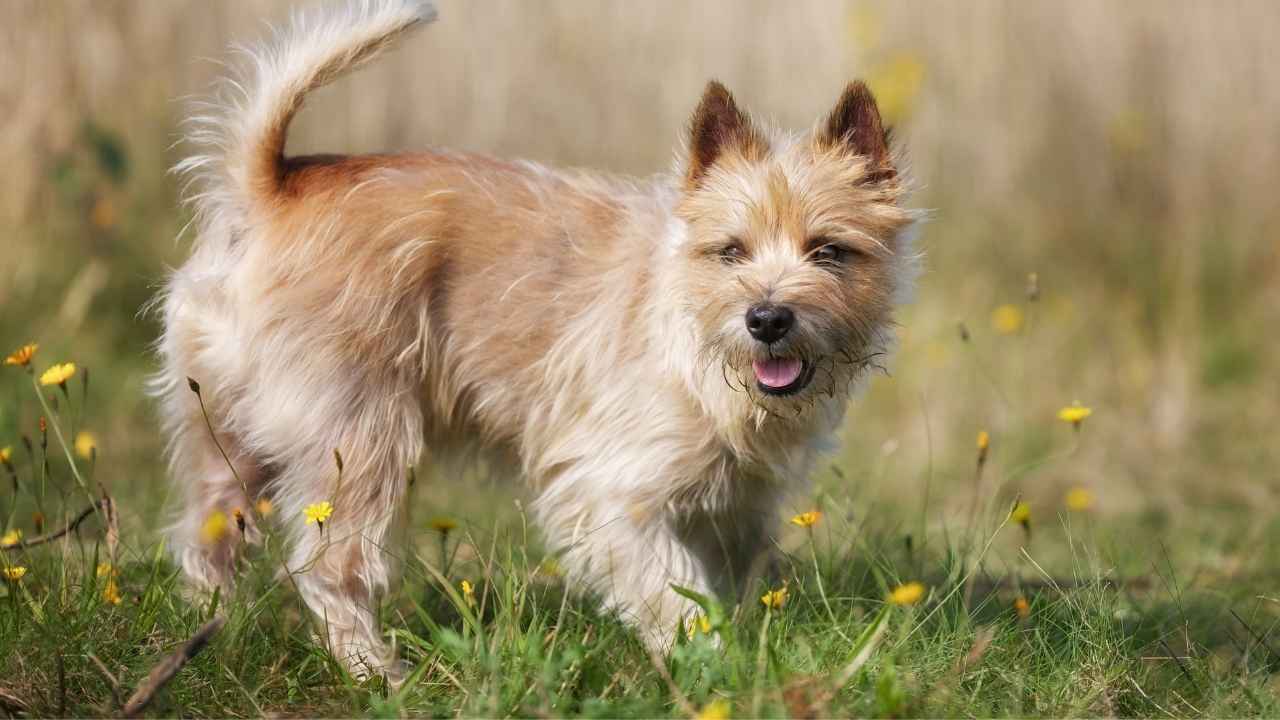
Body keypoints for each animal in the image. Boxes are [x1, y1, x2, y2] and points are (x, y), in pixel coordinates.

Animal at [152, 0, 921, 671]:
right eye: (730, 251)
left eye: (829, 251)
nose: (766, 319)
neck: (694, 339)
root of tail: (269, 187)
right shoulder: (609, 490)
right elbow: (672, 590)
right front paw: (705, 660)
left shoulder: (736, 506)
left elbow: (735, 576)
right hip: (360, 442)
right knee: (329, 568)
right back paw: (375, 671)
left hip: (229, 438)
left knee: (204, 534)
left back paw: (207, 629)